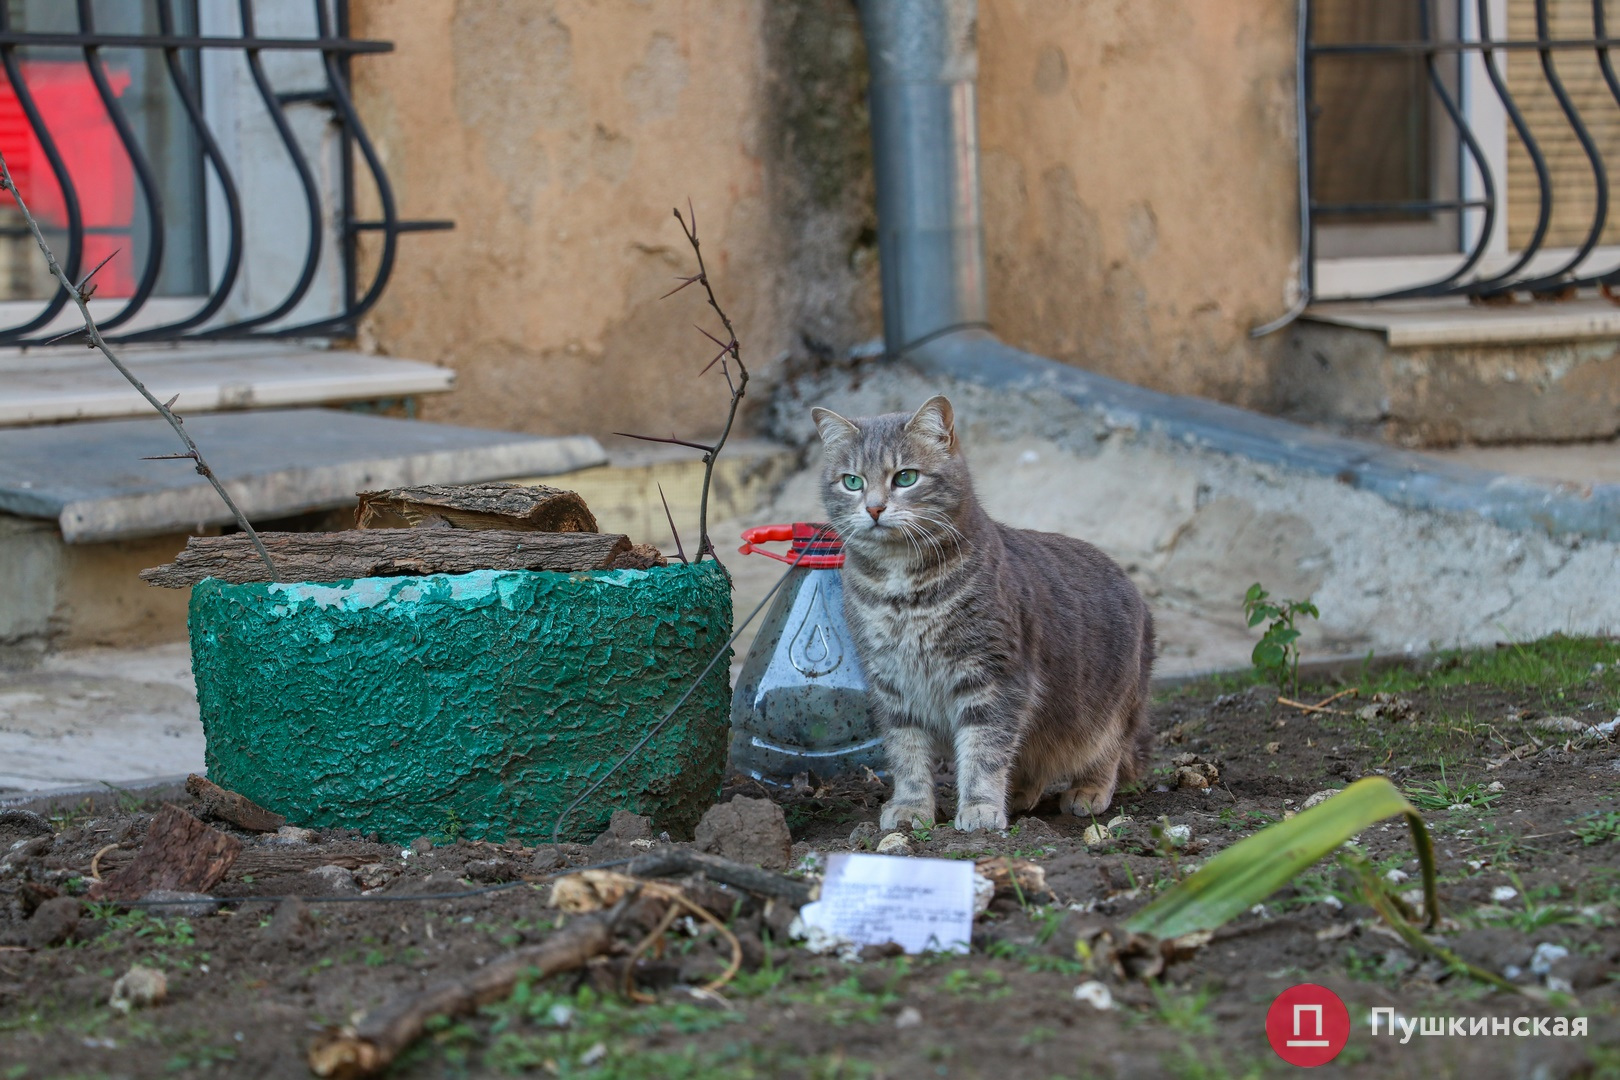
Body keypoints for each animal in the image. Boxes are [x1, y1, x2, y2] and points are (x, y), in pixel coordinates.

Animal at [810, 393, 1153, 835]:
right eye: (852, 482)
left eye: (906, 477)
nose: (873, 509)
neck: (900, 590)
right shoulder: (892, 684)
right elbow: (907, 754)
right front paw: (912, 807)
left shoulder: (992, 678)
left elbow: (983, 751)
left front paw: (979, 807)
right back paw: (1020, 793)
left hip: (1109, 709)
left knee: (1106, 750)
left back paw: (1087, 790)